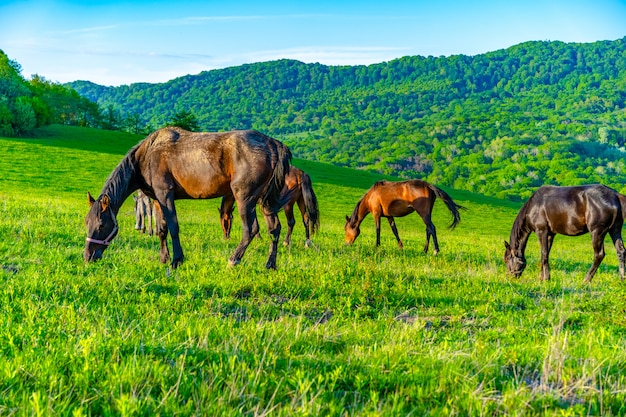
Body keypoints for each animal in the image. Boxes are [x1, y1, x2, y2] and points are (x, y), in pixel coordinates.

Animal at [83, 127, 292, 268]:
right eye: (87, 222)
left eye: (101, 225)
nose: (87, 256)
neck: (146, 155)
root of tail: (273, 144)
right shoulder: (158, 200)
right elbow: (161, 230)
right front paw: (164, 258)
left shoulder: (165, 195)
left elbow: (173, 227)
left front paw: (177, 260)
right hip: (263, 201)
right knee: (274, 229)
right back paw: (270, 264)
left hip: (245, 199)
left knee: (250, 230)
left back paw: (234, 259)